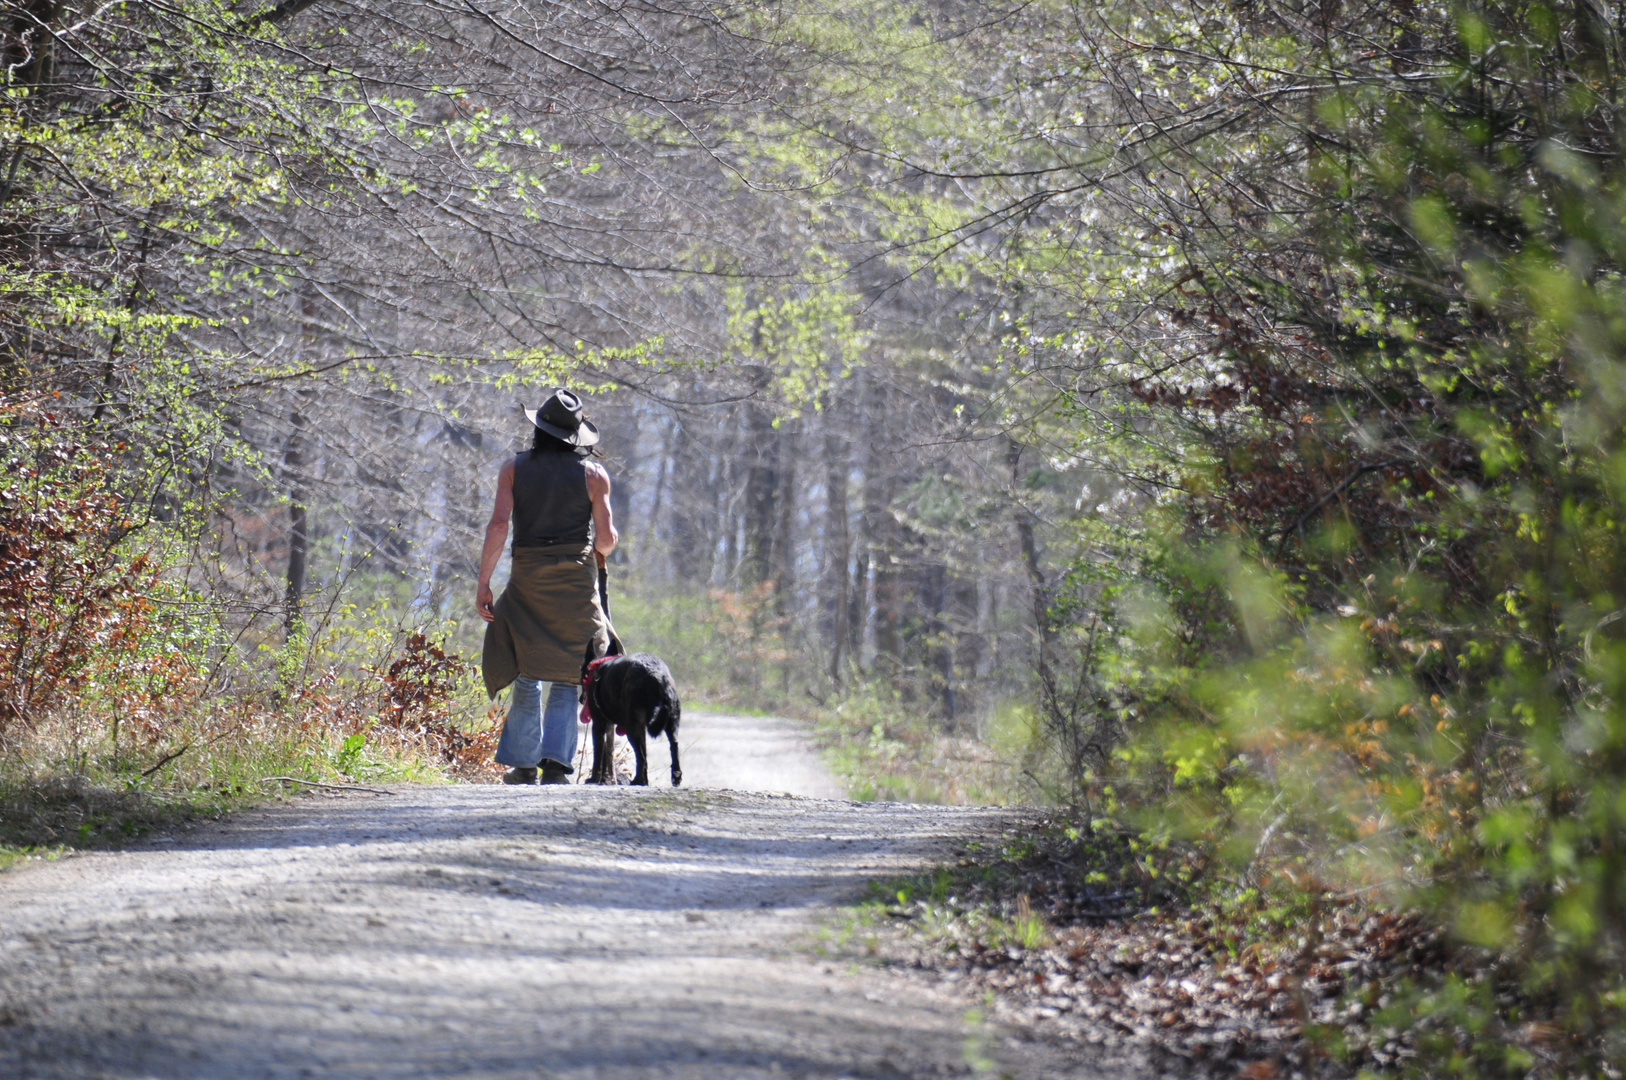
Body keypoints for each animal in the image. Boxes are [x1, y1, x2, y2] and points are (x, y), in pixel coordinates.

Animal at [582, 640, 682, 783]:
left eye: (582, 671)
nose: (580, 699)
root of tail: (656, 675)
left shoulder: (599, 724)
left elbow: (599, 754)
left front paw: (595, 778)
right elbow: (608, 752)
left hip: (632, 728)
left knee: (641, 756)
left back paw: (639, 780)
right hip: (670, 723)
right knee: (672, 745)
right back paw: (674, 776)